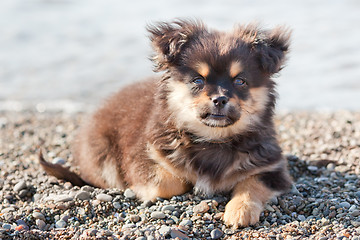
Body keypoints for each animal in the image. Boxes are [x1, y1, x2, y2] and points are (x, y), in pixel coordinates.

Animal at [40, 19, 292, 228]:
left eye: (240, 81)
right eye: (198, 80)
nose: (219, 99)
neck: (212, 140)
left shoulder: (271, 167)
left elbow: (252, 184)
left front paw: (240, 211)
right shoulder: (143, 155)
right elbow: (168, 182)